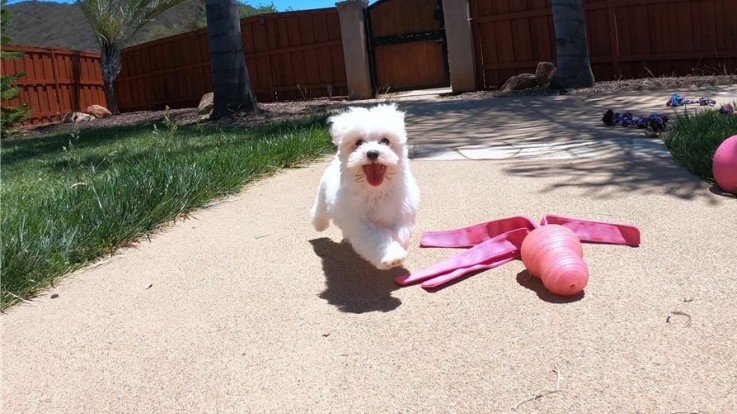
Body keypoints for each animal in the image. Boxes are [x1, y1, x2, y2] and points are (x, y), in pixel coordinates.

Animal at [310, 104, 420, 268]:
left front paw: (397, 244)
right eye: (358, 143)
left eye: (385, 141)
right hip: (323, 193)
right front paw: (392, 255)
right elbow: (378, 238)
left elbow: (401, 232)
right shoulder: (362, 223)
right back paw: (318, 224)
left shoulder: (402, 212)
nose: (372, 153)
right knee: (320, 210)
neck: (376, 191)